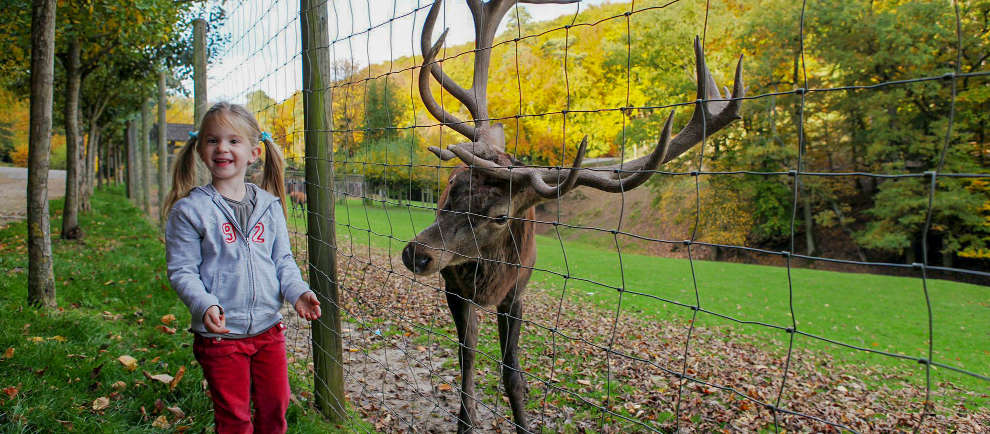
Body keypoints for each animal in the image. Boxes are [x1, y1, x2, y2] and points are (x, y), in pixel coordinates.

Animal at [400, 1, 748, 432]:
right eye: (453, 186)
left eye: (500, 216)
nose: (417, 253)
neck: (488, 284)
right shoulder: (455, 286)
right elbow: (468, 361)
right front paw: (467, 421)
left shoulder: (517, 291)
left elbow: (512, 374)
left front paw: (523, 421)